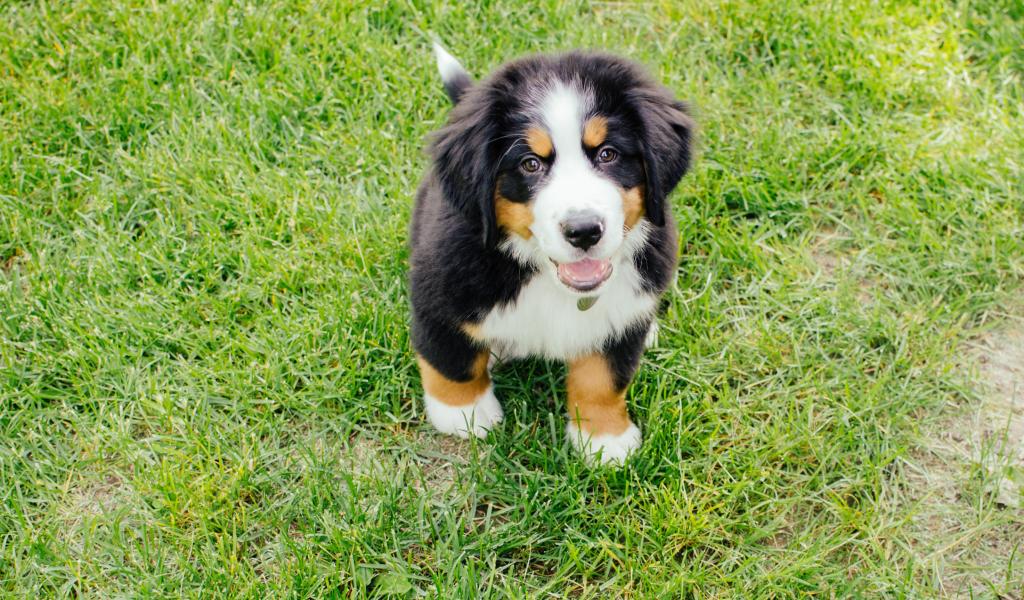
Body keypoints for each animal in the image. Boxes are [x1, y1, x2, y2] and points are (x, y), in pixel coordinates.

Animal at [409, 44, 694, 464]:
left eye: (607, 154)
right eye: (530, 164)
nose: (584, 230)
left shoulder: (621, 313)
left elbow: (603, 378)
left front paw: (604, 440)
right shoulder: (440, 289)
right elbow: (450, 359)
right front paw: (464, 413)